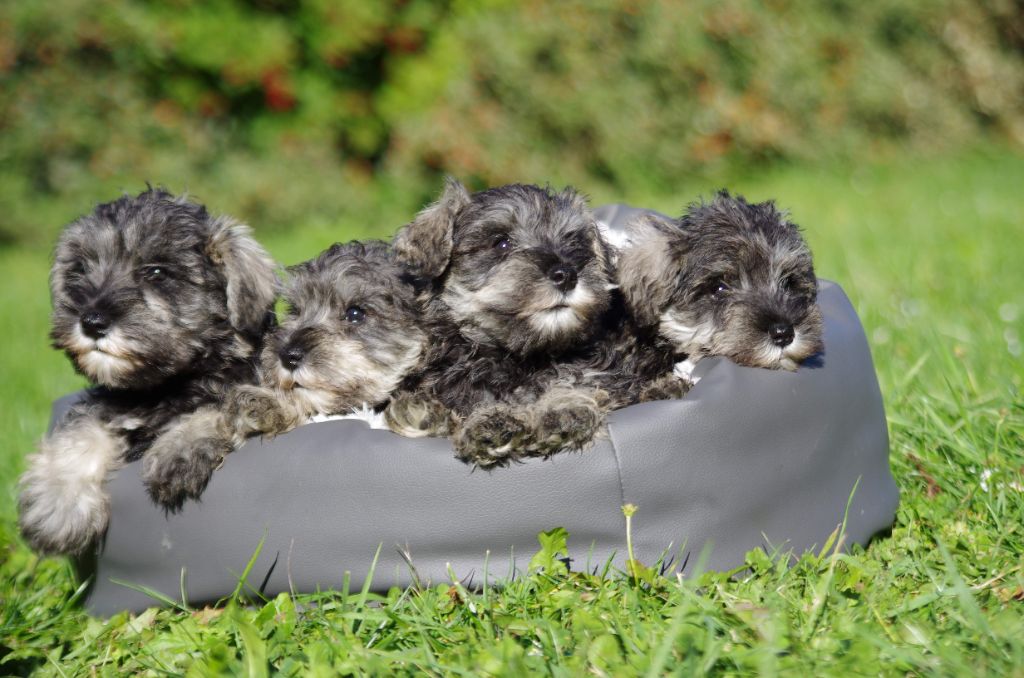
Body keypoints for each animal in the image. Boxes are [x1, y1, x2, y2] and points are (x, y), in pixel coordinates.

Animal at [18, 188, 278, 557]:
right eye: (80, 268)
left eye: (156, 272)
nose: (92, 321)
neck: (162, 385)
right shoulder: (104, 404)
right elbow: (81, 432)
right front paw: (57, 508)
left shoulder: (246, 387)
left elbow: (218, 406)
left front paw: (178, 450)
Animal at [385, 178, 614, 471]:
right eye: (501, 243)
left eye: (573, 241)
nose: (566, 275)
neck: (512, 355)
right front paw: (490, 423)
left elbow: (566, 379)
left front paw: (563, 409)